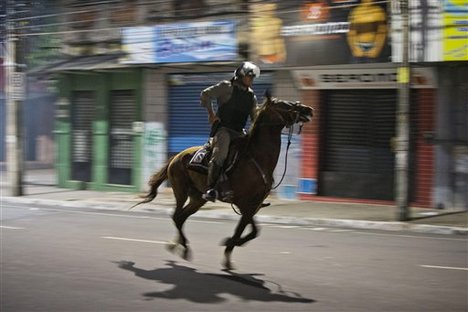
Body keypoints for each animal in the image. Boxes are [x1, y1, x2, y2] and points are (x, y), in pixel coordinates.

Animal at [133, 92, 314, 268]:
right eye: (283, 104)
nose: (308, 109)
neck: (256, 158)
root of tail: (175, 157)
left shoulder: (253, 204)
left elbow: (253, 231)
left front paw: (231, 243)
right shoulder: (243, 203)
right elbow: (243, 229)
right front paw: (228, 256)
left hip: (197, 198)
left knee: (182, 217)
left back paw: (178, 246)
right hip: (181, 191)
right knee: (176, 216)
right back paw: (184, 248)